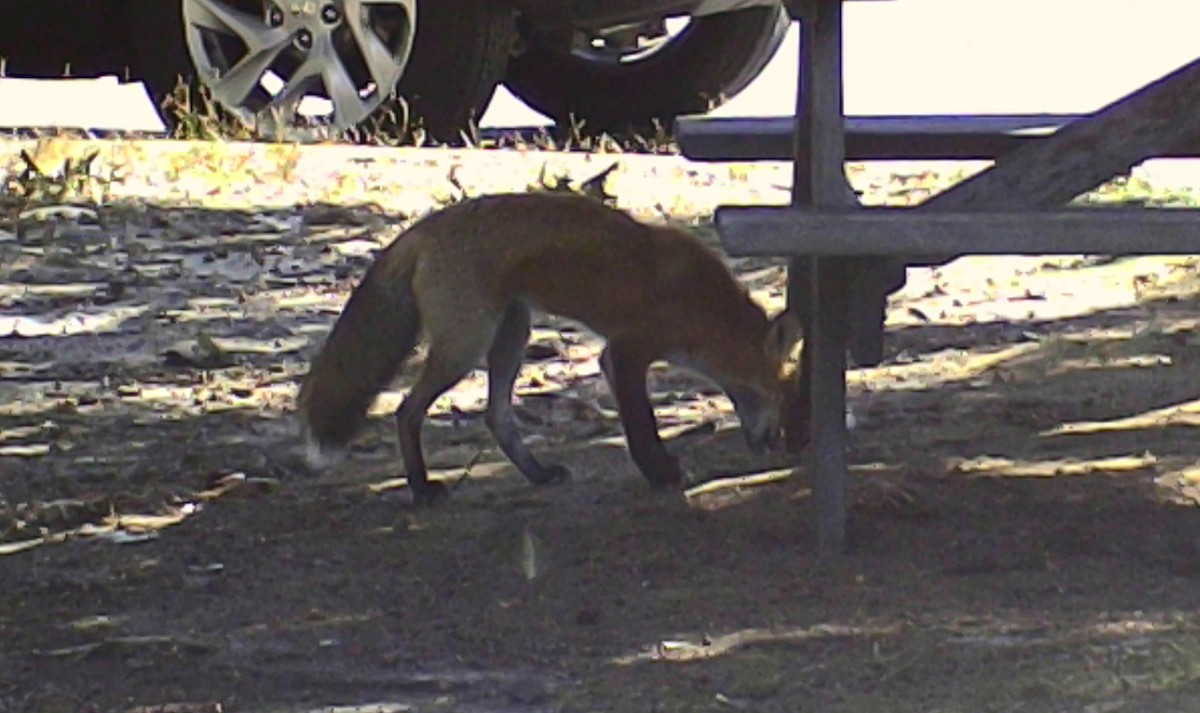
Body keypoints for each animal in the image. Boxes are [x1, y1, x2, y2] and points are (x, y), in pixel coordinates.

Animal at [296, 191, 804, 505]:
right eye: (781, 398)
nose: (779, 445)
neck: (705, 307)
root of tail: (423, 228)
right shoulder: (625, 353)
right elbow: (641, 425)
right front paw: (660, 474)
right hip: (466, 346)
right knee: (407, 411)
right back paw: (422, 489)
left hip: (511, 336)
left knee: (496, 416)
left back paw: (537, 474)